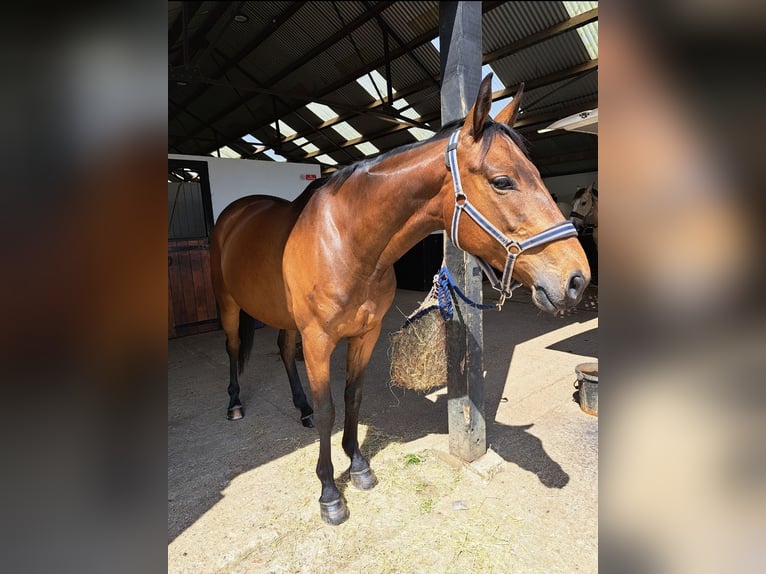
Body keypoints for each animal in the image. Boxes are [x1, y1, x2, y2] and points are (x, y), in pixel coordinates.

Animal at [207, 75, 592, 528]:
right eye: (502, 181)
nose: (577, 279)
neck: (346, 241)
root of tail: (235, 211)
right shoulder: (318, 341)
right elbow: (329, 410)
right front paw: (329, 494)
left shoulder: (366, 334)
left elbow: (352, 398)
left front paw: (358, 467)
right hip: (229, 306)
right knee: (233, 347)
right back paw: (235, 404)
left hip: (284, 317)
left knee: (285, 351)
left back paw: (300, 409)